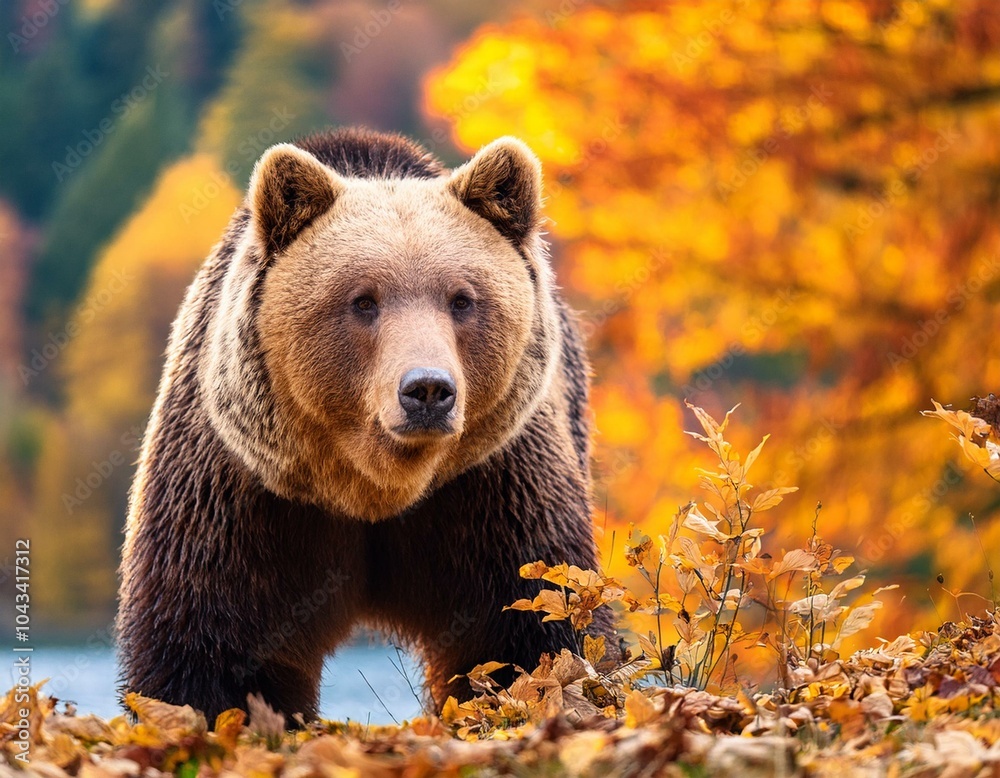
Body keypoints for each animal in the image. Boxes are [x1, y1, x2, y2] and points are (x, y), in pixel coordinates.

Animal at [117, 126, 616, 725]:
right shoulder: (244, 490)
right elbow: (209, 637)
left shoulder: (493, 481)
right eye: (363, 300)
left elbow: (532, 619)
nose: (427, 390)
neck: (372, 485)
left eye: (463, 299)